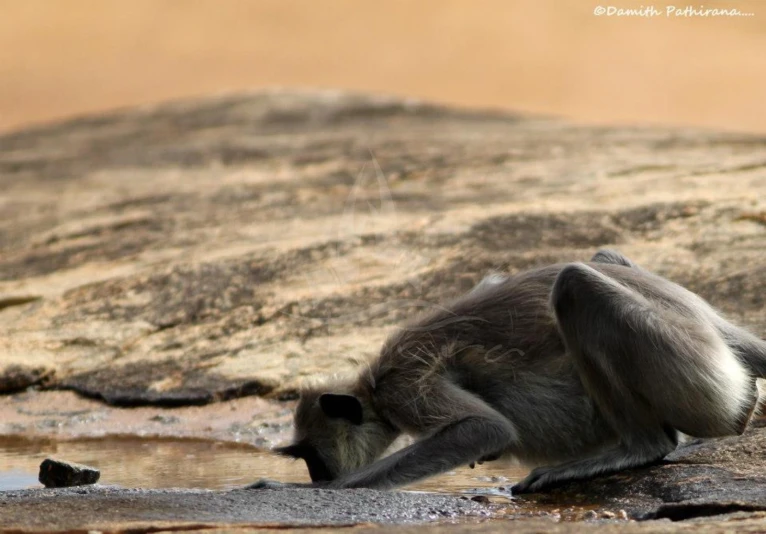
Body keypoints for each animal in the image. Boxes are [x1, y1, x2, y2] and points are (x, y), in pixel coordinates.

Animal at [254, 251, 766, 494]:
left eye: (313, 458)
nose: (316, 478)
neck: (373, 388)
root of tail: (713, 324)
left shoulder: (403, 383)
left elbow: (486, 427)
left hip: (698, 373)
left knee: (575, 284)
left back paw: (637, 447)